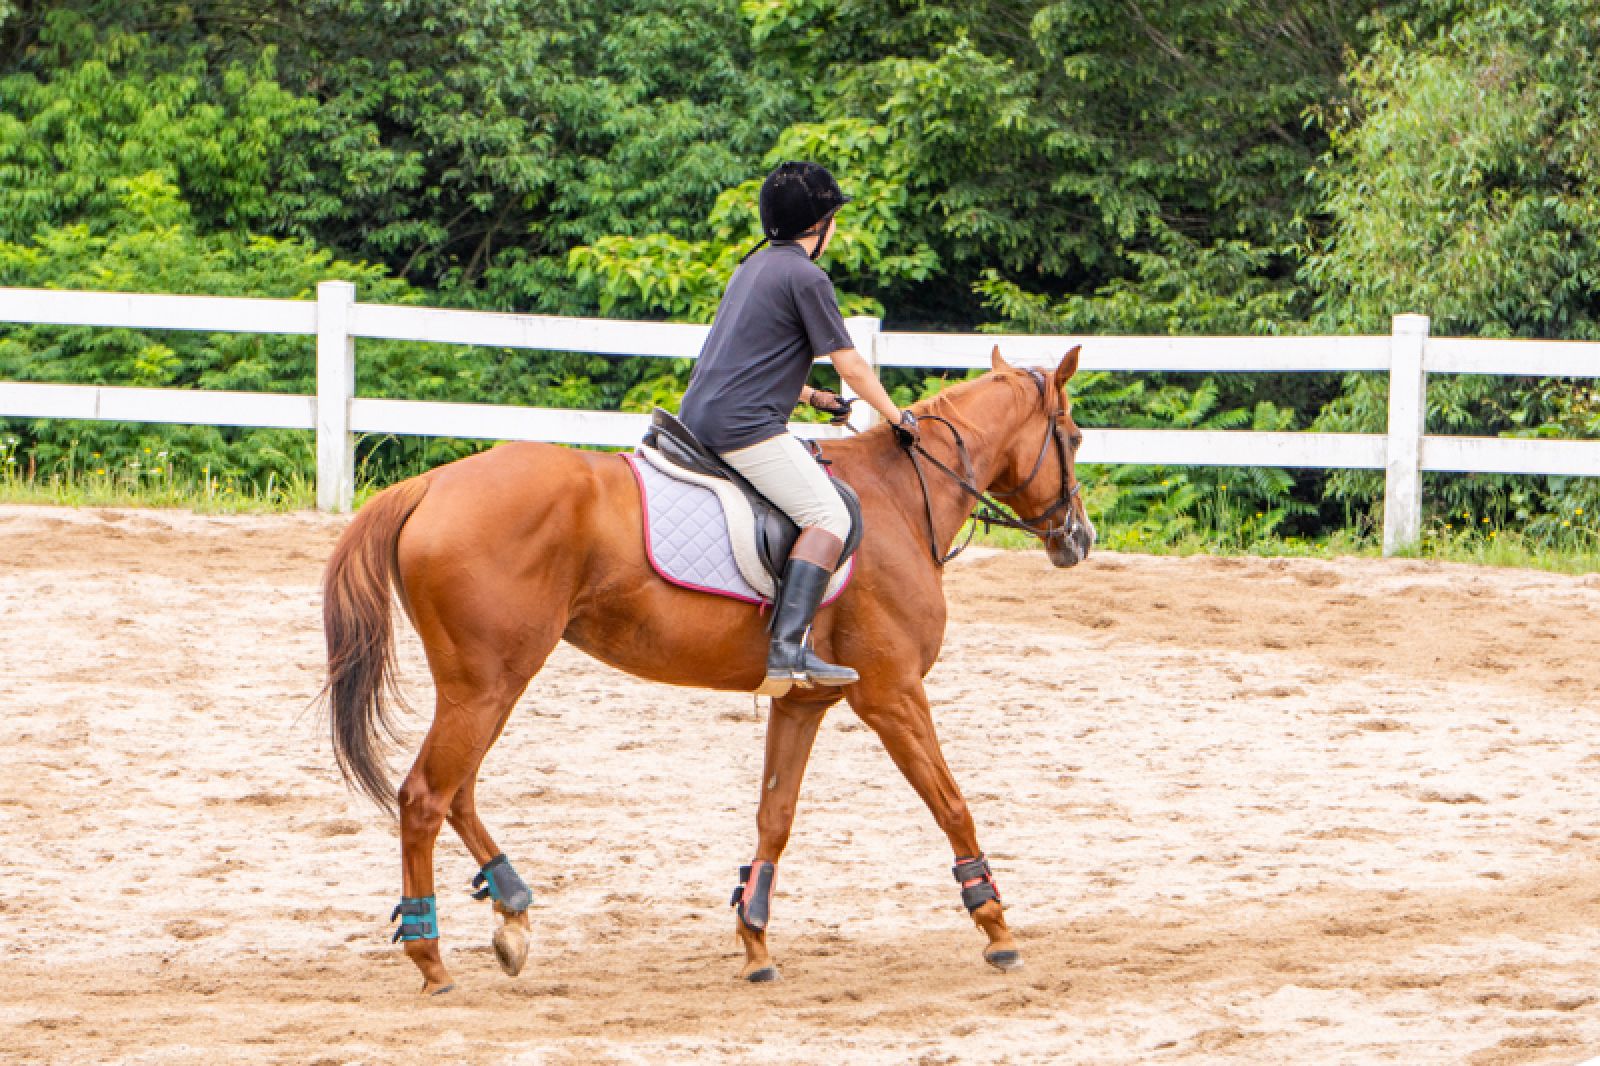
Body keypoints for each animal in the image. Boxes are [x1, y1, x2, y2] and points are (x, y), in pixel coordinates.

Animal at [324, 344, 1100, 992]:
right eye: (1073, 437)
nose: (1081, 539)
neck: (903, 498)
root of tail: (428, 487)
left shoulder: (802, 701)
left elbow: (774, 816)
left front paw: (754, 939)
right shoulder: (893, 694)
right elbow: (952, 804)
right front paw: (995, 926)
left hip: (487, 685)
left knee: (457, 792)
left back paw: (512, 909)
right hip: (488, 684)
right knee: (425, 796)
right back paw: (431, 956)